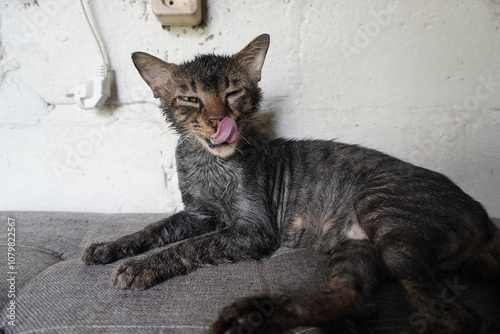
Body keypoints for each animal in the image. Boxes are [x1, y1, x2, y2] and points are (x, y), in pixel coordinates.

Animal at [82, 34, 500, 334]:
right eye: (189, 98)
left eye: (233, 92)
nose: (218, 120)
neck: (208, 164)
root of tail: (485, 219)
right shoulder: (198, 214)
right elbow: (156, 228)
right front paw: (109, 248)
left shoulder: (253, 229)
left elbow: (192, 246)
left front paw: (140, 267)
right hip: (357, 247)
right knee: (355, 299)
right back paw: (250, 317)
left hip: (382, 212)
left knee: (454, 314)